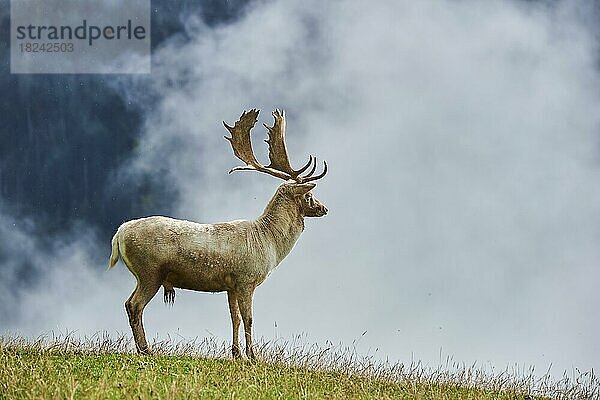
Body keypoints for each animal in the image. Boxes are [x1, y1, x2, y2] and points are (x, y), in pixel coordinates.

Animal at [108, 109, 328, 360]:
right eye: (309, 196)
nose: (324, 208)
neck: (268, 241)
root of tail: (119, 234)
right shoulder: (246, 279)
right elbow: (248, 319)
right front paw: (253, 357)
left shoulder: (230, 285)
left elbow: (235, 319)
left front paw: (236, 354)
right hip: (150, 271)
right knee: (134, 305)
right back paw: (146, 350)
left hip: (142, 274)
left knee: (128, 304)